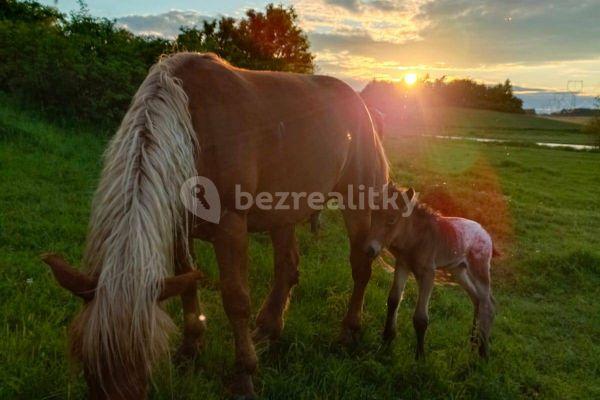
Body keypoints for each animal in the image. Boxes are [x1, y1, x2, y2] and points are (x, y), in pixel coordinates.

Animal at [43, 51, 390, 398]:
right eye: (87, 365)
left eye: (142, 362)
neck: (192, 130)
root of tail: (361, 105)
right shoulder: (180, 229)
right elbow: (188, 283)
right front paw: (190, 348)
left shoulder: (230, 227)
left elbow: (236, 300)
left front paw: (244, 376)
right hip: (283, 212)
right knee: (288, 267)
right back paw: (267, 329)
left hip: (357, 202)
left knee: (360, 268)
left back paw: (348, 332)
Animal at [366, 188, 496, 360]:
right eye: (373, 214)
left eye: (392, 219)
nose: (369, 250)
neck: (416, 238)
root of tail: (486, 234)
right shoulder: (402, 265)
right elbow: (393, 300)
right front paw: (386, 340)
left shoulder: (428, 274)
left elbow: (421, 318)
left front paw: (420, 357)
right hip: (458, 271)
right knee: (477, 300)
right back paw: (473, 343)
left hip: (479, 270)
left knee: (488, 304)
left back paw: (483, 352)